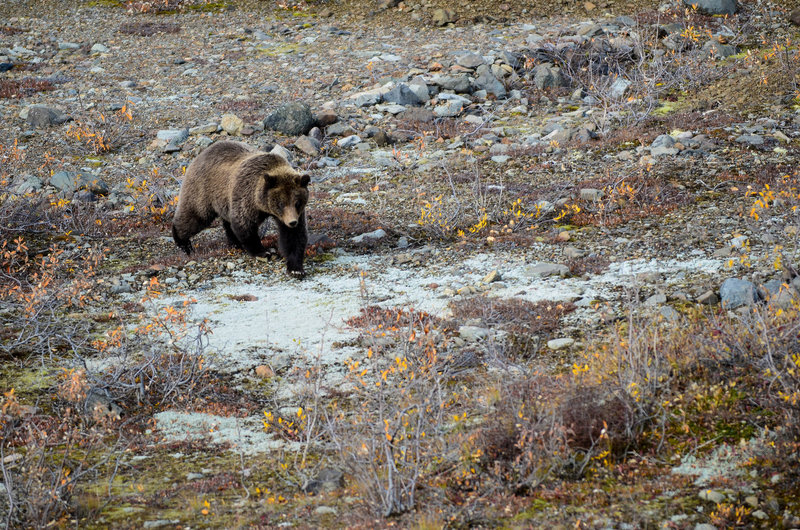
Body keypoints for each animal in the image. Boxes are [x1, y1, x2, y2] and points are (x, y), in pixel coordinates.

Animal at [172, 138, 310, 274]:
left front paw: (296, 268)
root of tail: (199, 156)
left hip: (224, 201)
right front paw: (263, 251)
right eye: (281, 204)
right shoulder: (246, 196)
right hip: (203, 191)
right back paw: (184, 244)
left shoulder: (293, 214)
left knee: (227, 223)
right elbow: (244, 225)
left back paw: (234, 243)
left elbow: (294, 236)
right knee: (194, 217)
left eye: (297, 203)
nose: (292, 222)